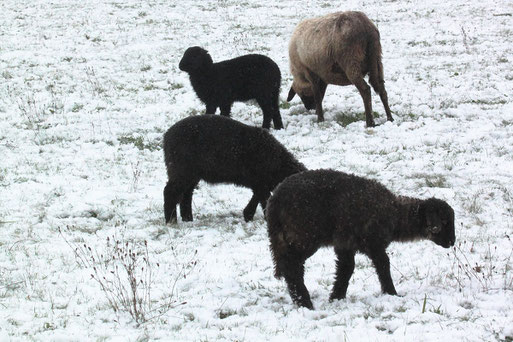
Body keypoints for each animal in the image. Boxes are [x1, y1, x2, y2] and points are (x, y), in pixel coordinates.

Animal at [163, 115, 304, 223]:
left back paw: (188, 219)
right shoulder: (260, 182)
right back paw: (171, 221)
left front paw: (248, 215)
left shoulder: (259, 183)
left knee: (186, 195)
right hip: (181, 170)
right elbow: (264, 199)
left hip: (191, 174)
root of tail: (166, 137)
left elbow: (257, 198)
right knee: (170, 192)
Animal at [266, 170, 454, 308]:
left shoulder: (345, 244)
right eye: (444, 221)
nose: (452, 242)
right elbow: (383, 266)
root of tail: (274, 200)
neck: (396, 216)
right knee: (291, 266)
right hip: (304, 235)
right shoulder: (374, 243)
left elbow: (346, 269)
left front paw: (336, 297)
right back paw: (304, 302)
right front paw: (392, 293)